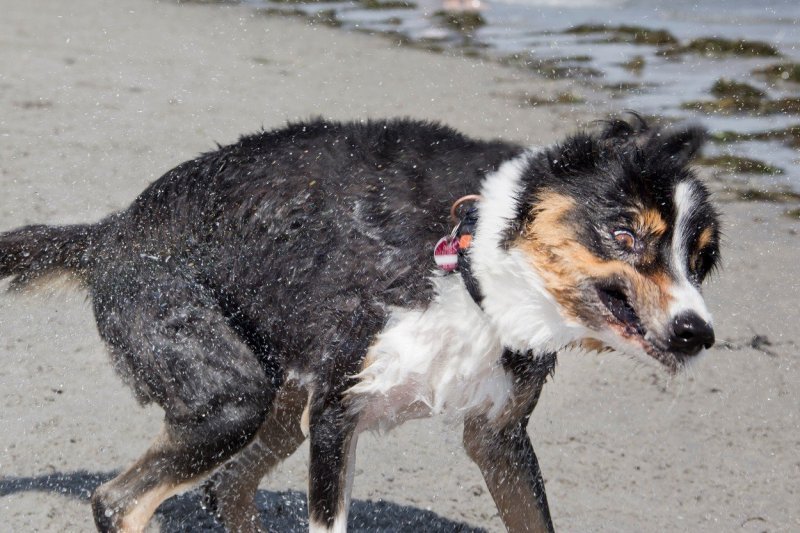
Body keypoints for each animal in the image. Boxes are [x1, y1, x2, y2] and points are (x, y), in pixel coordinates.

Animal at [0, 114, 720, 528]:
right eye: (625, 233)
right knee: (118, 501)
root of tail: (110, 232)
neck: (467, 258)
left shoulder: (498, 437)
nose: (698, 332)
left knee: (227, 487)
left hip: (280, 407)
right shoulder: (336, 418)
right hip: (231, 398)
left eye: (702, 257)